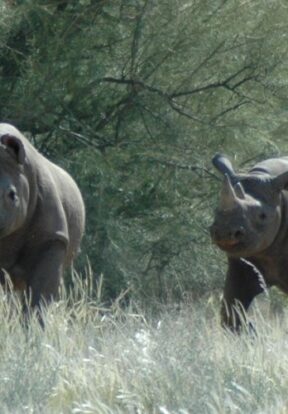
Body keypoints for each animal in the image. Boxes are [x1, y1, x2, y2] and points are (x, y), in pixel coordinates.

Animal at [209, 154, 288, 332]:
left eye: (262, 216)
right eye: (216, 211)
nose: (225, 232)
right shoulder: (245, 258)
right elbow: (231, 310)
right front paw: (252, 330)